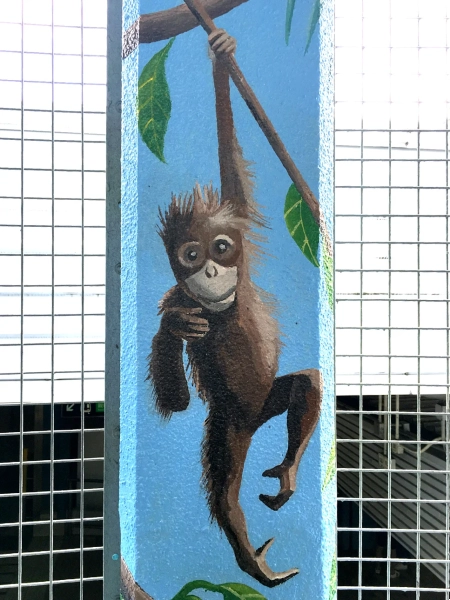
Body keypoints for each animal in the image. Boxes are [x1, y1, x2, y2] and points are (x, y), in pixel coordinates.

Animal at [148, 28, 322, 588]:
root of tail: (249, 423)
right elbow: (176, 400)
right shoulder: (177, 295)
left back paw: (286, 472)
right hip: (225, 426)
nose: (208, 272)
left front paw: (221, 55)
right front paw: (174, 328)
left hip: (265, 401)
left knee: (306, 384)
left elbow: (230, 160)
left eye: (221, 248)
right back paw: (254, 563)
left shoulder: (238, 215)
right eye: (190, 255)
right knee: (224, 495)